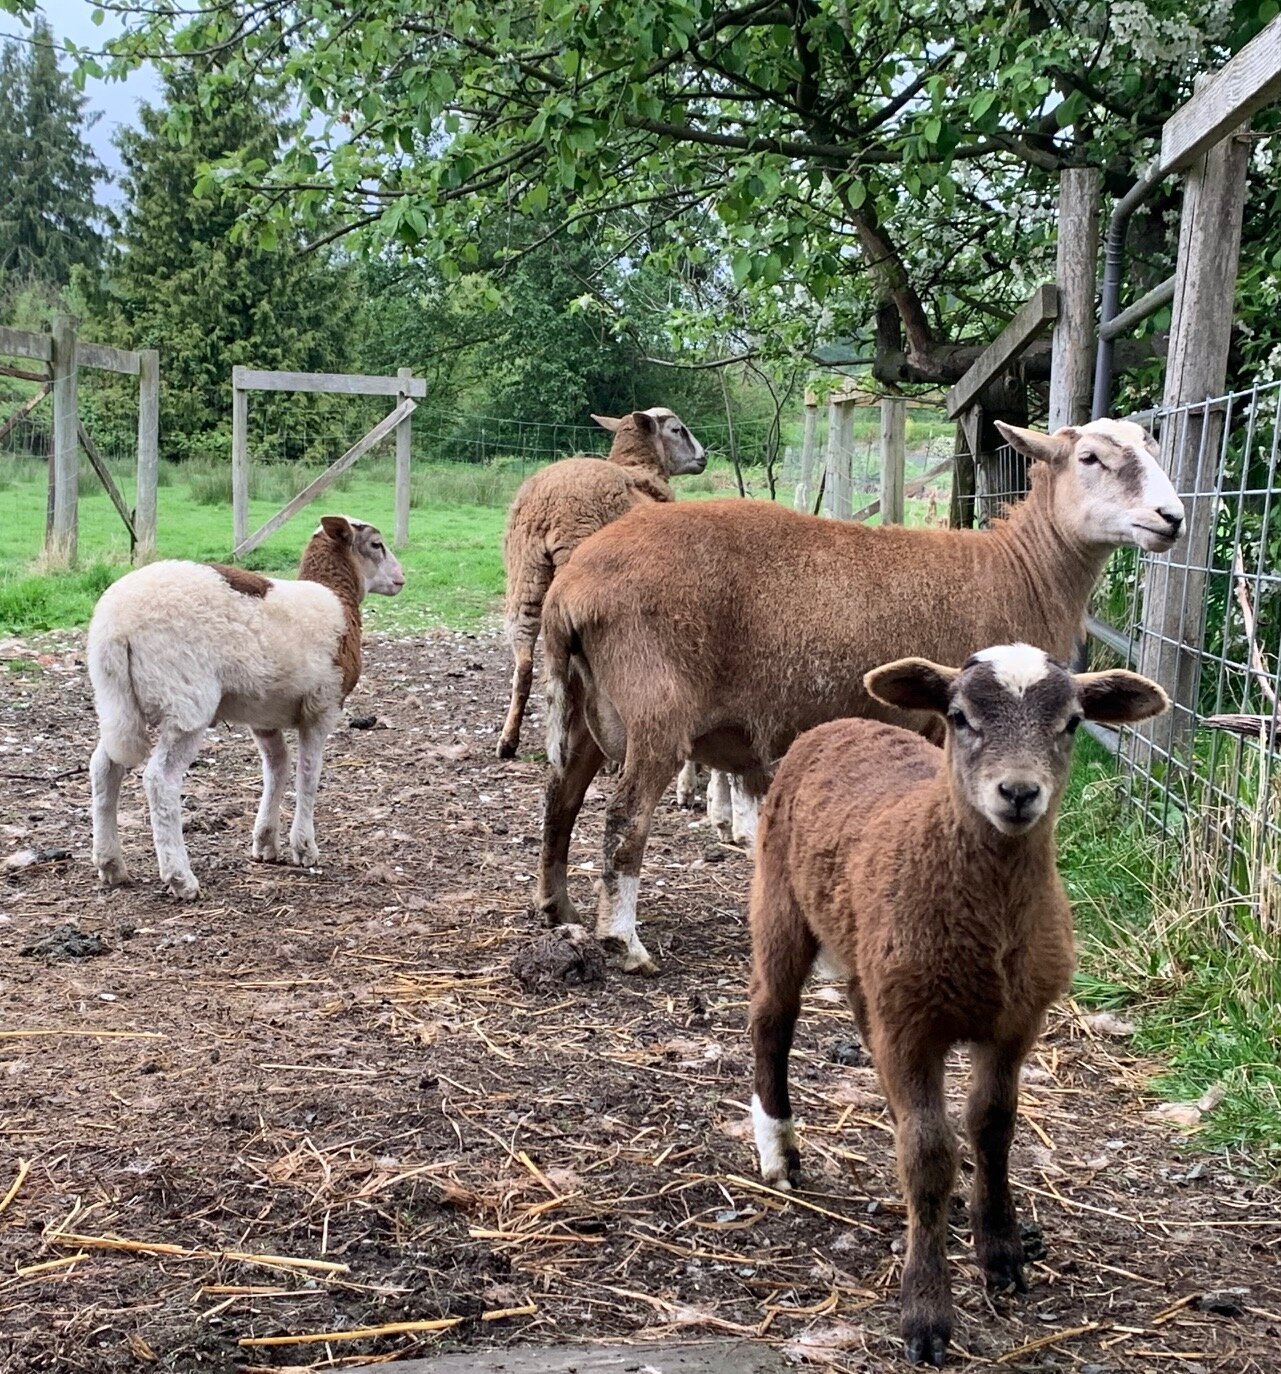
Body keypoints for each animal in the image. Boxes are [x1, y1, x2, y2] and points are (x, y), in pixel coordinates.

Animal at [88, 515, 404, 899]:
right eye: (376, 544)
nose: (401, 578)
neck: (336, 596)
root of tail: (115, 625)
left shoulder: (263, 715)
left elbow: (277, 768)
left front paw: (266, 842)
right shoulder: (323, 706)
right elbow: (308, 775)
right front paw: (304, 847)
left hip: (116, 701)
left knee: (104, 768)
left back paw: (111, 864)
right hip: (186, 701)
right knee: (160, 779)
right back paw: (180, 878)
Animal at [496, 407, 706, 760]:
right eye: (678, 430)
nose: (703, 458)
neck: (641, 470)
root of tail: (549, 506)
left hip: (525, 575)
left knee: (524, 661)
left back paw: (508, 741)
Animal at [535, 418, 1185, 974]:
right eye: (1090, 458)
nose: (1172, 517)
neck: (1021, 571)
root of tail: (571, 590)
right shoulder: (947, 725)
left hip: (590, 702)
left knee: (561, 798)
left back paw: (558, 909)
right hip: (656, 703)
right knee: (624, 818)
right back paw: (624, 942)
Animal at [748, 646, 1168, 1366]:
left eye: (1072, 722)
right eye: (959, 716)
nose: (1019, 793)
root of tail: (841, 722)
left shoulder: (1015, 1021)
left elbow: (992, 1125)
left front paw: (1000, 1250)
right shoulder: (913, 1027)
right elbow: (927, 1157)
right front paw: (925, 1310)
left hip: (877, 965)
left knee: (862, 1023)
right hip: (780, 900)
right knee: (771, 1019)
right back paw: (778, 1149)